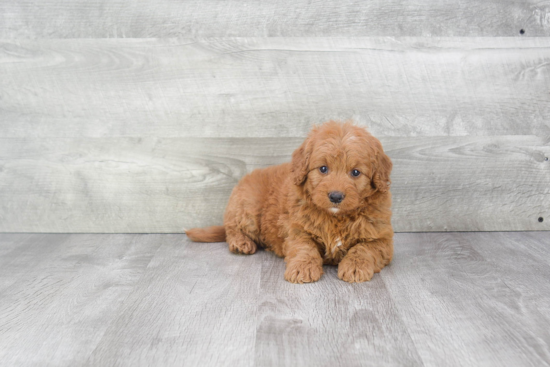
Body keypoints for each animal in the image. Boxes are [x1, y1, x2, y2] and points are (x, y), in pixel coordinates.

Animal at [188, 121, 394, 284]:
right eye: (323, 169)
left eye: (356, 172)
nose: (336, 196)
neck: (336, 218)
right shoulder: (297, 229)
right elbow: (304, 248)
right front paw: (303, 268)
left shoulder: (382, 238)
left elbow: (364, 248)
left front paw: (355, 267)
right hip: (247, 208)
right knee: (232, 228)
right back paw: (241, 242)